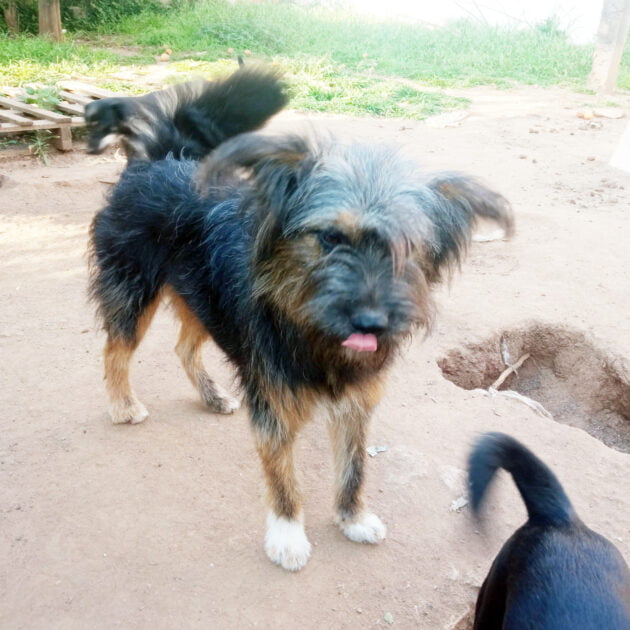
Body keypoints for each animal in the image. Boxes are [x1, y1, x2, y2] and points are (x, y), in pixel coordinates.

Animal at [87, 130, 512, 572]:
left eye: (408, 246)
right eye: (330, 237)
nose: (371, 323)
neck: (314, 334)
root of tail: (148, 164)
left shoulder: (355, 402)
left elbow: (354, 466)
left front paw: (352, 518)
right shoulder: (273, 403)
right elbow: (283, 477)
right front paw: (287, 536)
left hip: (203, 300)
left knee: (183, 347)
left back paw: (213, 396)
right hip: (134, 290)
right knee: (115, 350)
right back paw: (123, 405)